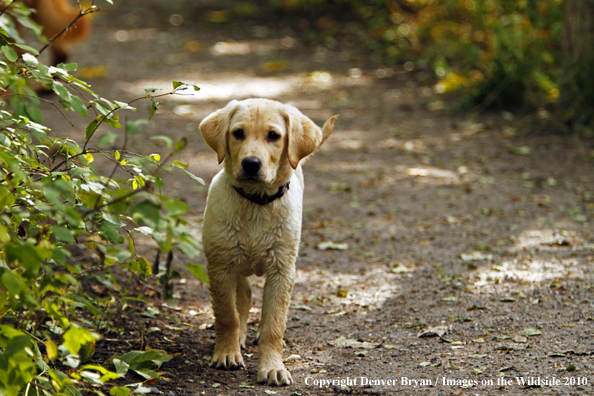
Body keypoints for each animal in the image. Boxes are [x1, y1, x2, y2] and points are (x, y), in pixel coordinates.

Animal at [199, 97, 336, 386]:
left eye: (273, 136)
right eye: (238, 133)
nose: (251, 163)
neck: (256, 202)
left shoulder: (282, 270)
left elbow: (275, 322)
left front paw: (273, 367)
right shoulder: (220, 266)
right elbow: (227, 315)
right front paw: (226, 353)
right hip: (235, 262)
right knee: (244, 295)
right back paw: (239, 338)